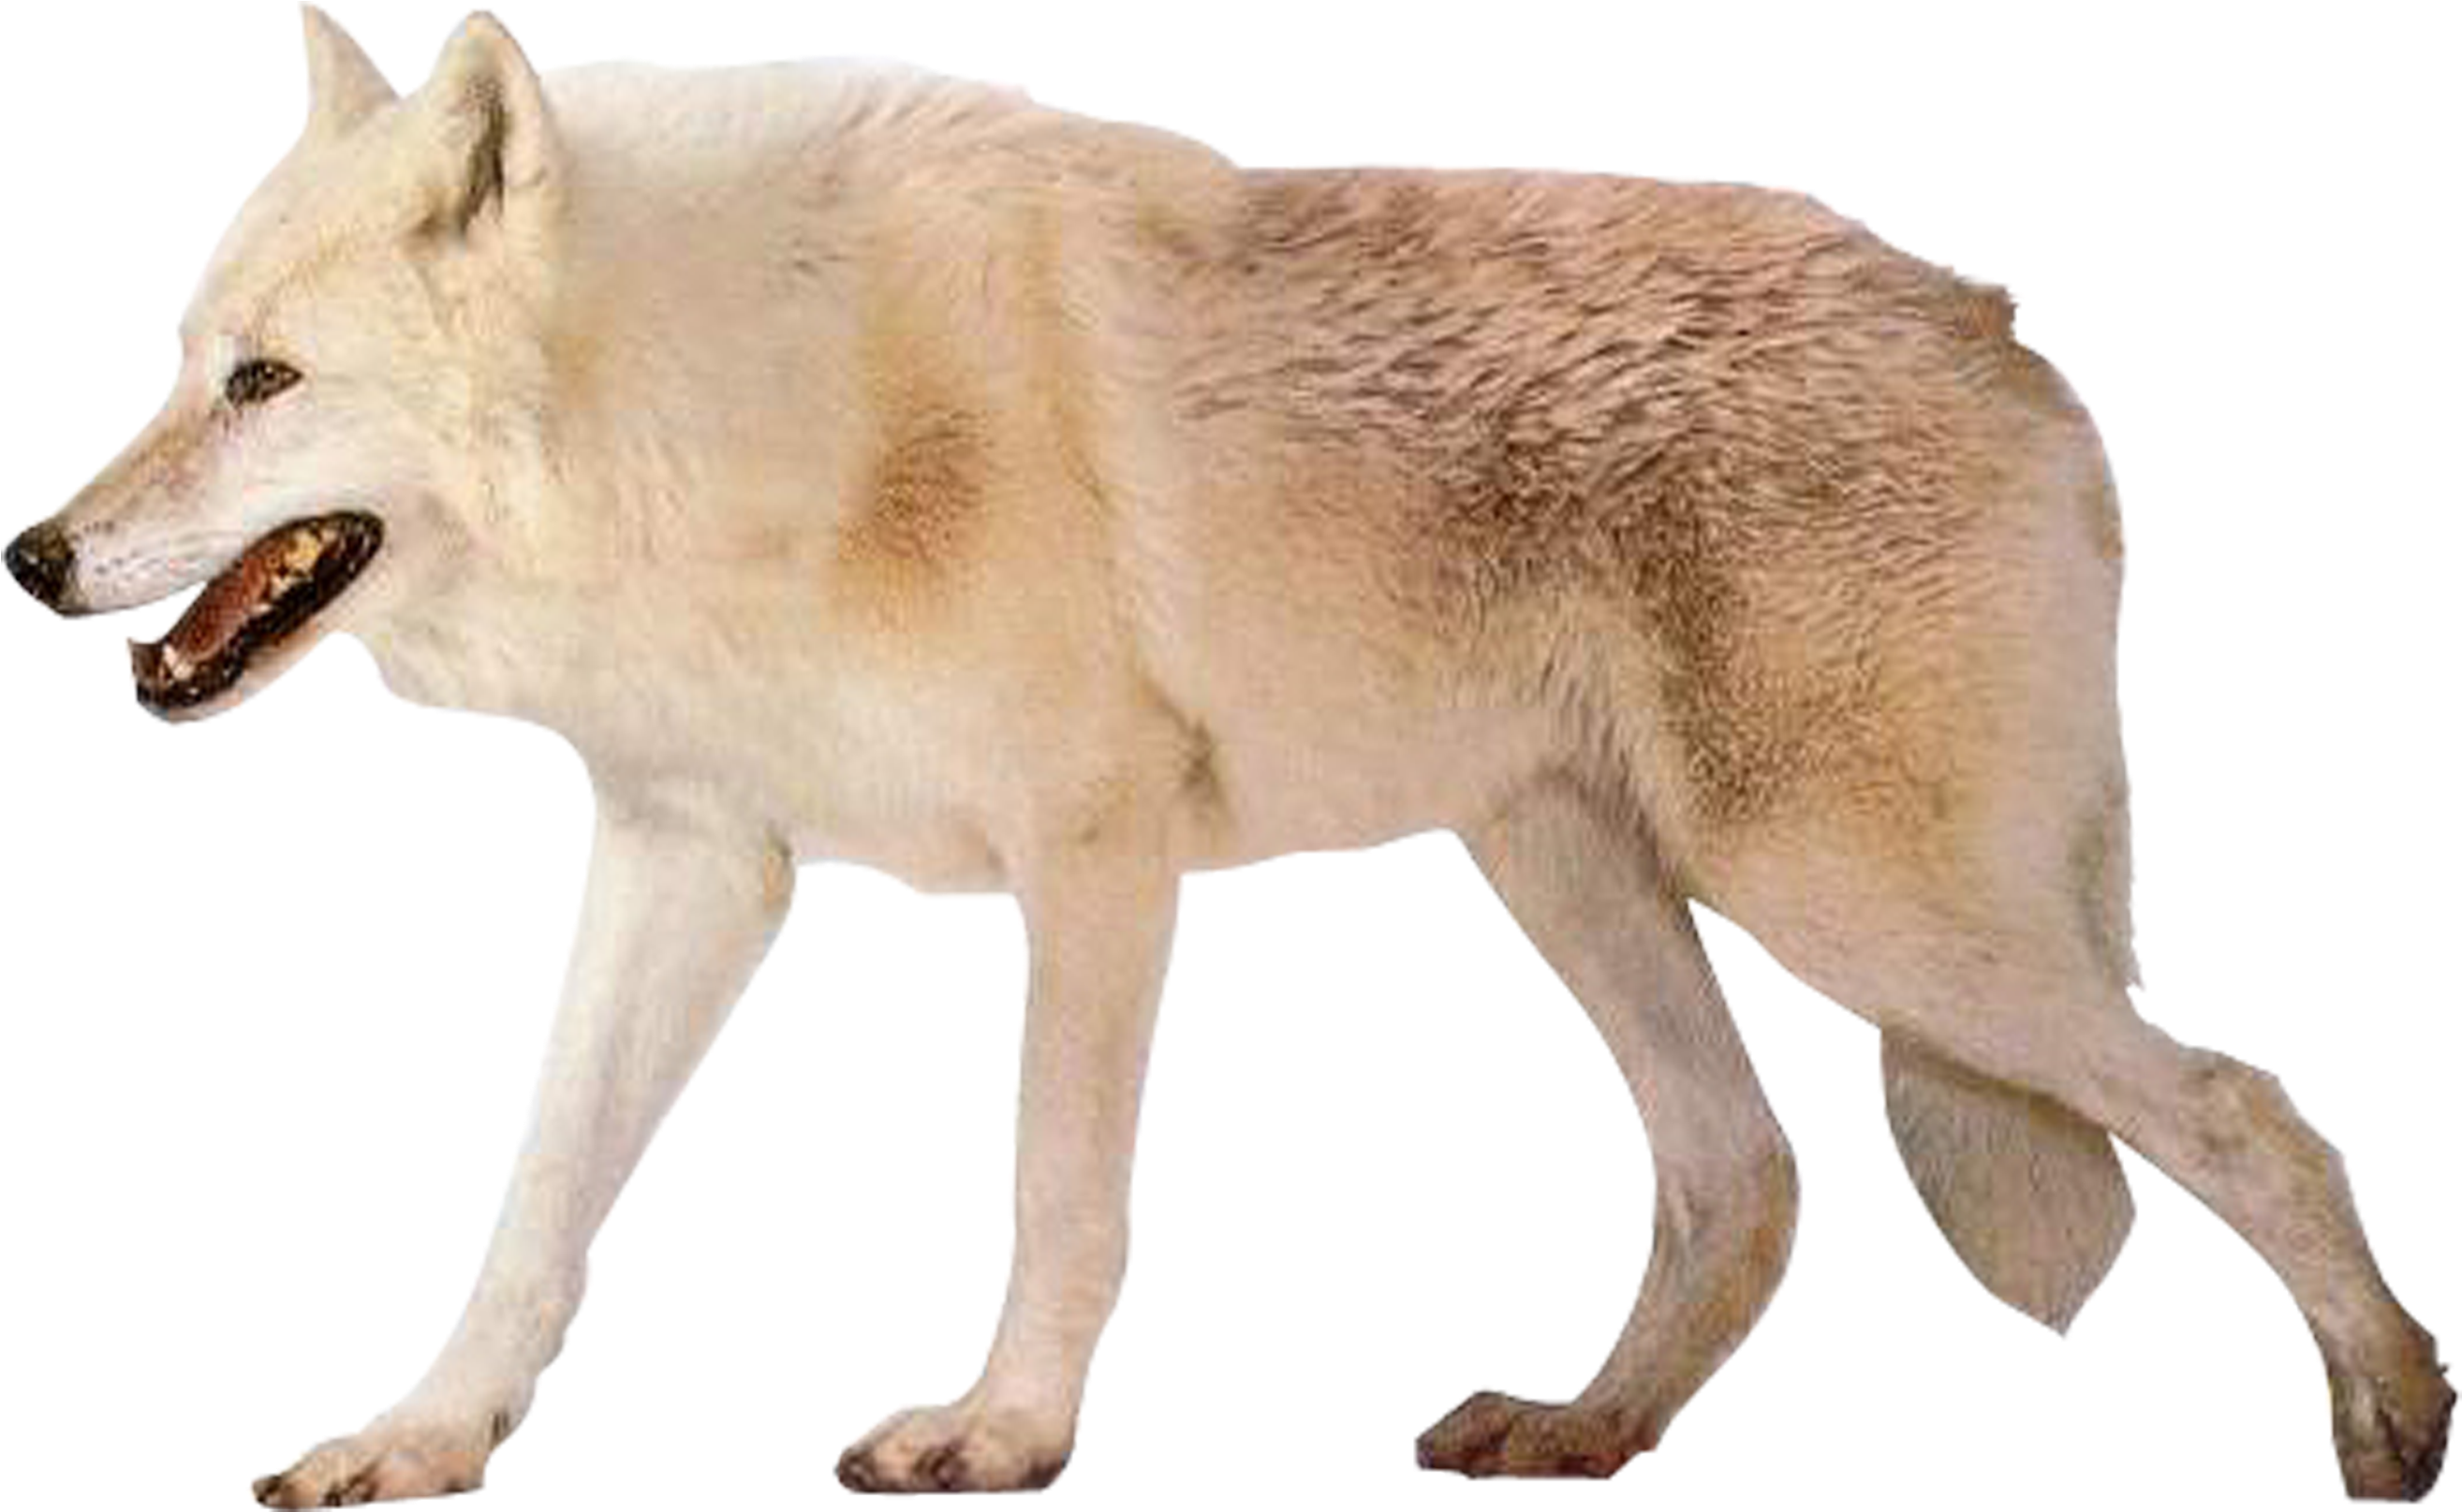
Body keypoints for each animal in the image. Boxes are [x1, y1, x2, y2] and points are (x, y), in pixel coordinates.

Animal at [7, 5, 2450, 1506]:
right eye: (181, 364)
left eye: (262, 384)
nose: (31, 559)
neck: (741, 407)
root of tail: (2012, 338)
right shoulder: (689, 854)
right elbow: (534, 1202)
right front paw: (415, 1444)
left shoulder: (1092, 854)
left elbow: (1057, 1187)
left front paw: (997, 1435)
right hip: (1569, 872)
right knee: (1745, 1180)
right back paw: (1578, 1433)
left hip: (1847, 905)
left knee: (2247, 1107)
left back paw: (2391, 1421)